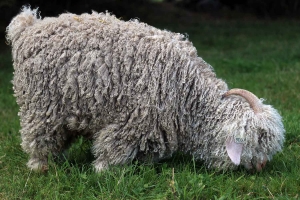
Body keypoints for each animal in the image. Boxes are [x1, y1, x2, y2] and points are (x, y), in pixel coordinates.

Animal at [5, 6, 284, 172]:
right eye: (258, 140)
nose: (261, 166)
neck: (188, 94)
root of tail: (28, 26)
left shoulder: (153, 128)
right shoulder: (132, 120)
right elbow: (113, 147)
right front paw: (102, 170)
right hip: (41, 107)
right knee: (40, 138)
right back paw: (40, 166)